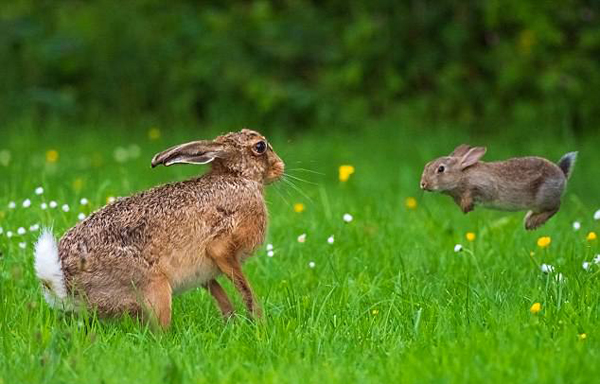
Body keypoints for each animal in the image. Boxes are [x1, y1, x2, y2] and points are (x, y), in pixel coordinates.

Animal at [34, 129, 284, 328]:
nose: (281, 167)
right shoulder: (221, 248)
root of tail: (62, 283)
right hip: (155, 289)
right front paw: (257, 321)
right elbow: (244, 288)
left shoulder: (206, 270)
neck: (237, 177)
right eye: (260, 147)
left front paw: (231, 322)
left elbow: (219, 292)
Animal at [420, 146, 576, 231]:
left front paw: (467, 206)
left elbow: (474, 193)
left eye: (441, 169)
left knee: (556, 206)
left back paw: (532, 223)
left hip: (544, 196)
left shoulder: (484, 186)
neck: (462, 175)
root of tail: (562, 174)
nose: (423, 184)